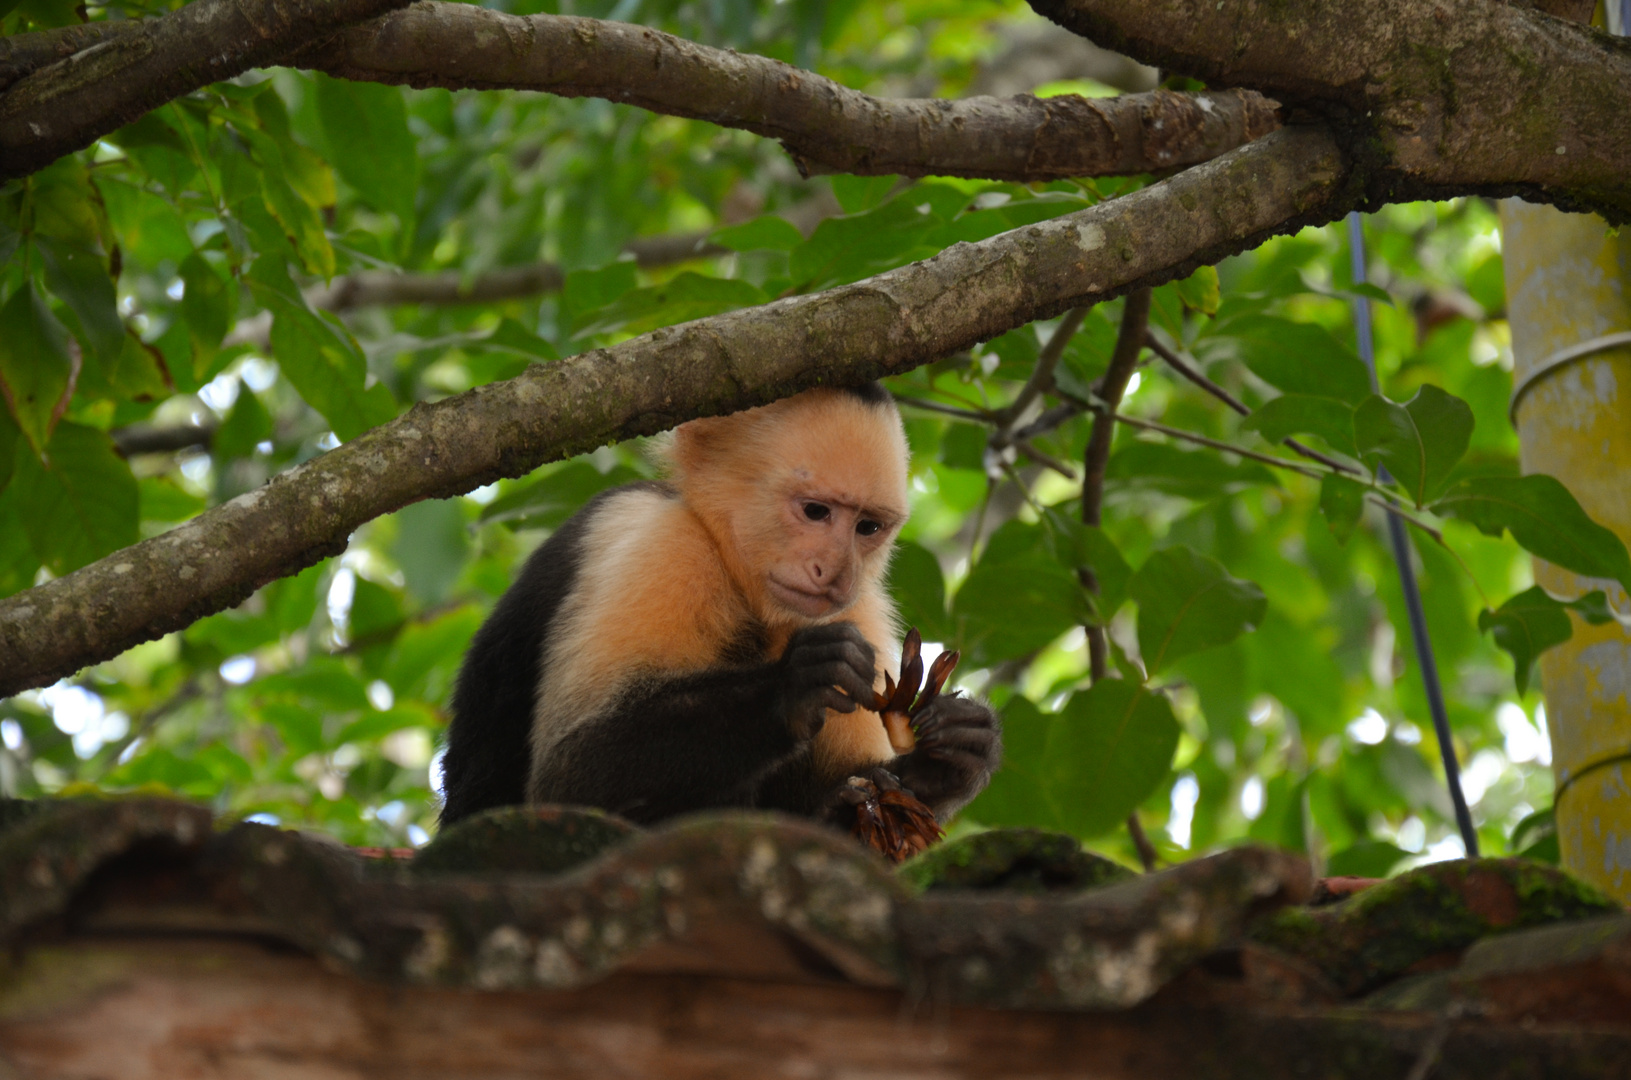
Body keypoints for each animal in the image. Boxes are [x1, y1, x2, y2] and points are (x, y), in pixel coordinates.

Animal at [446, 385, 998, 832]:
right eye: (815, 511)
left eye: (868, 527)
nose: (838, 573)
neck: (736, 573)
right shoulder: (664, 543)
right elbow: (565, 780)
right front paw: (795, 684)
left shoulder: (856, 608)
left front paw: (952, 759)